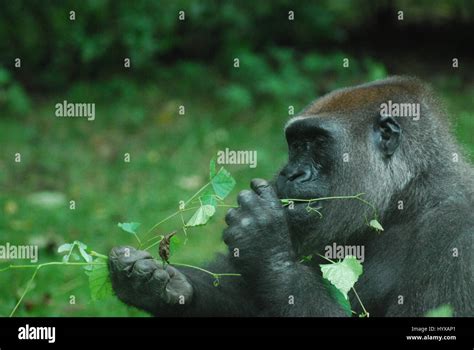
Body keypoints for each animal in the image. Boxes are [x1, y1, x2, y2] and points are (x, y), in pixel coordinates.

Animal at [108, 76, 474, 318]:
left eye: (317, 143)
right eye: (296, 144)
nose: (290, 174)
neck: (410, 197)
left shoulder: (458, 231)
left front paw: (262, 241)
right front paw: (162, 286)